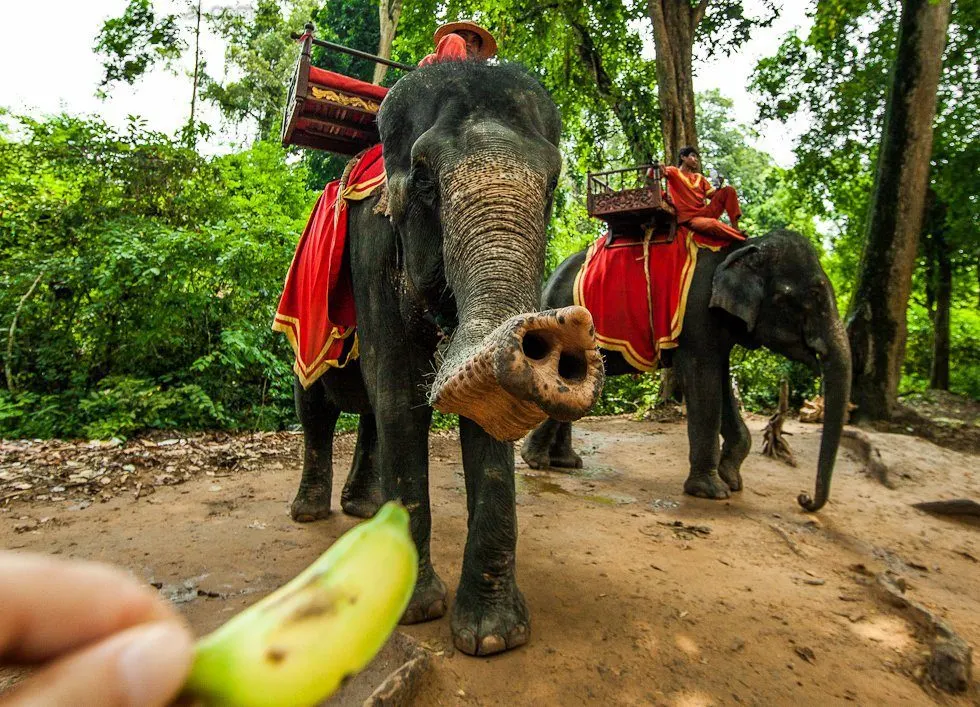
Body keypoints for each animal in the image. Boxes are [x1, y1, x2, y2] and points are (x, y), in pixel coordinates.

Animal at [288, 60, 605, 657]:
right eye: (425, 179)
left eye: (553, 185)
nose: (559, 330)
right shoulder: (371, 245)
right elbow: (399, 389)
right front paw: (414, 611)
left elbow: (485, 409)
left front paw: (493, 636)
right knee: (316, 405)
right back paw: (311, 513)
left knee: (368, 412)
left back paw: (365, 511)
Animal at [521, 229, 851, 512]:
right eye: (813, 297)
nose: (803, 498)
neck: (741, 245)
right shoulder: (696, 314)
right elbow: (701, 376)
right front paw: (713, 492)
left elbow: (720, 380)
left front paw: (732, 479)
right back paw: (537, 462)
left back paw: (564, 463)